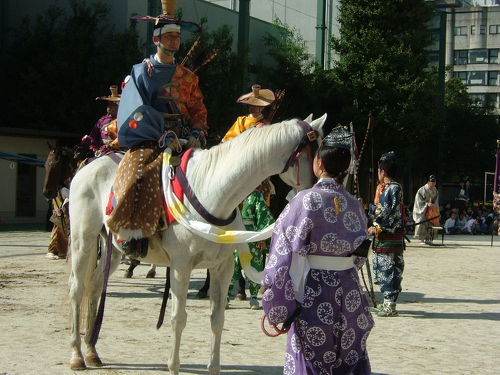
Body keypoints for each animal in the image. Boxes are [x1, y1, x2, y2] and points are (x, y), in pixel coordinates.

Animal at [68, 116, 326, 374]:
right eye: (315, 152)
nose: (322, 184)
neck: (212, 190)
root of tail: (89, 166)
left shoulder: (222, 268)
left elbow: (217, 319)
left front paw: (213, 366)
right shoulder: (181, 267)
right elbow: (178, 318)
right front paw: (173, 366)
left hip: (113, 249)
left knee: (95, 285)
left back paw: (91, 351)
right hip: (83, 239)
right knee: (77, 288)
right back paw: (77, 355)